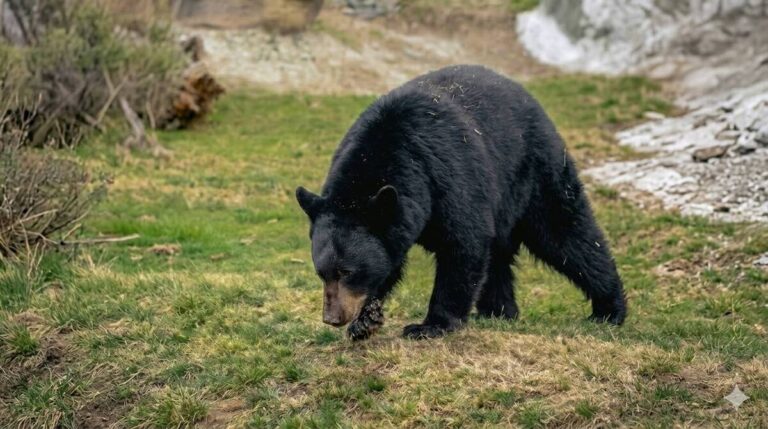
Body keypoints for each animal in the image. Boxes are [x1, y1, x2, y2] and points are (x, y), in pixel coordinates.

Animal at [296, 65, 627, 340]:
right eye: (322, 272)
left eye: (346, 272)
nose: (332, 318)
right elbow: (388, 260)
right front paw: (365, 321)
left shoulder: (448, 177)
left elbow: (463, 245)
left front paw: (430, 326)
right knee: (499, 257)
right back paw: (497, 312)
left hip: (535, 172)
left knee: (567, 234)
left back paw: (609, 310)